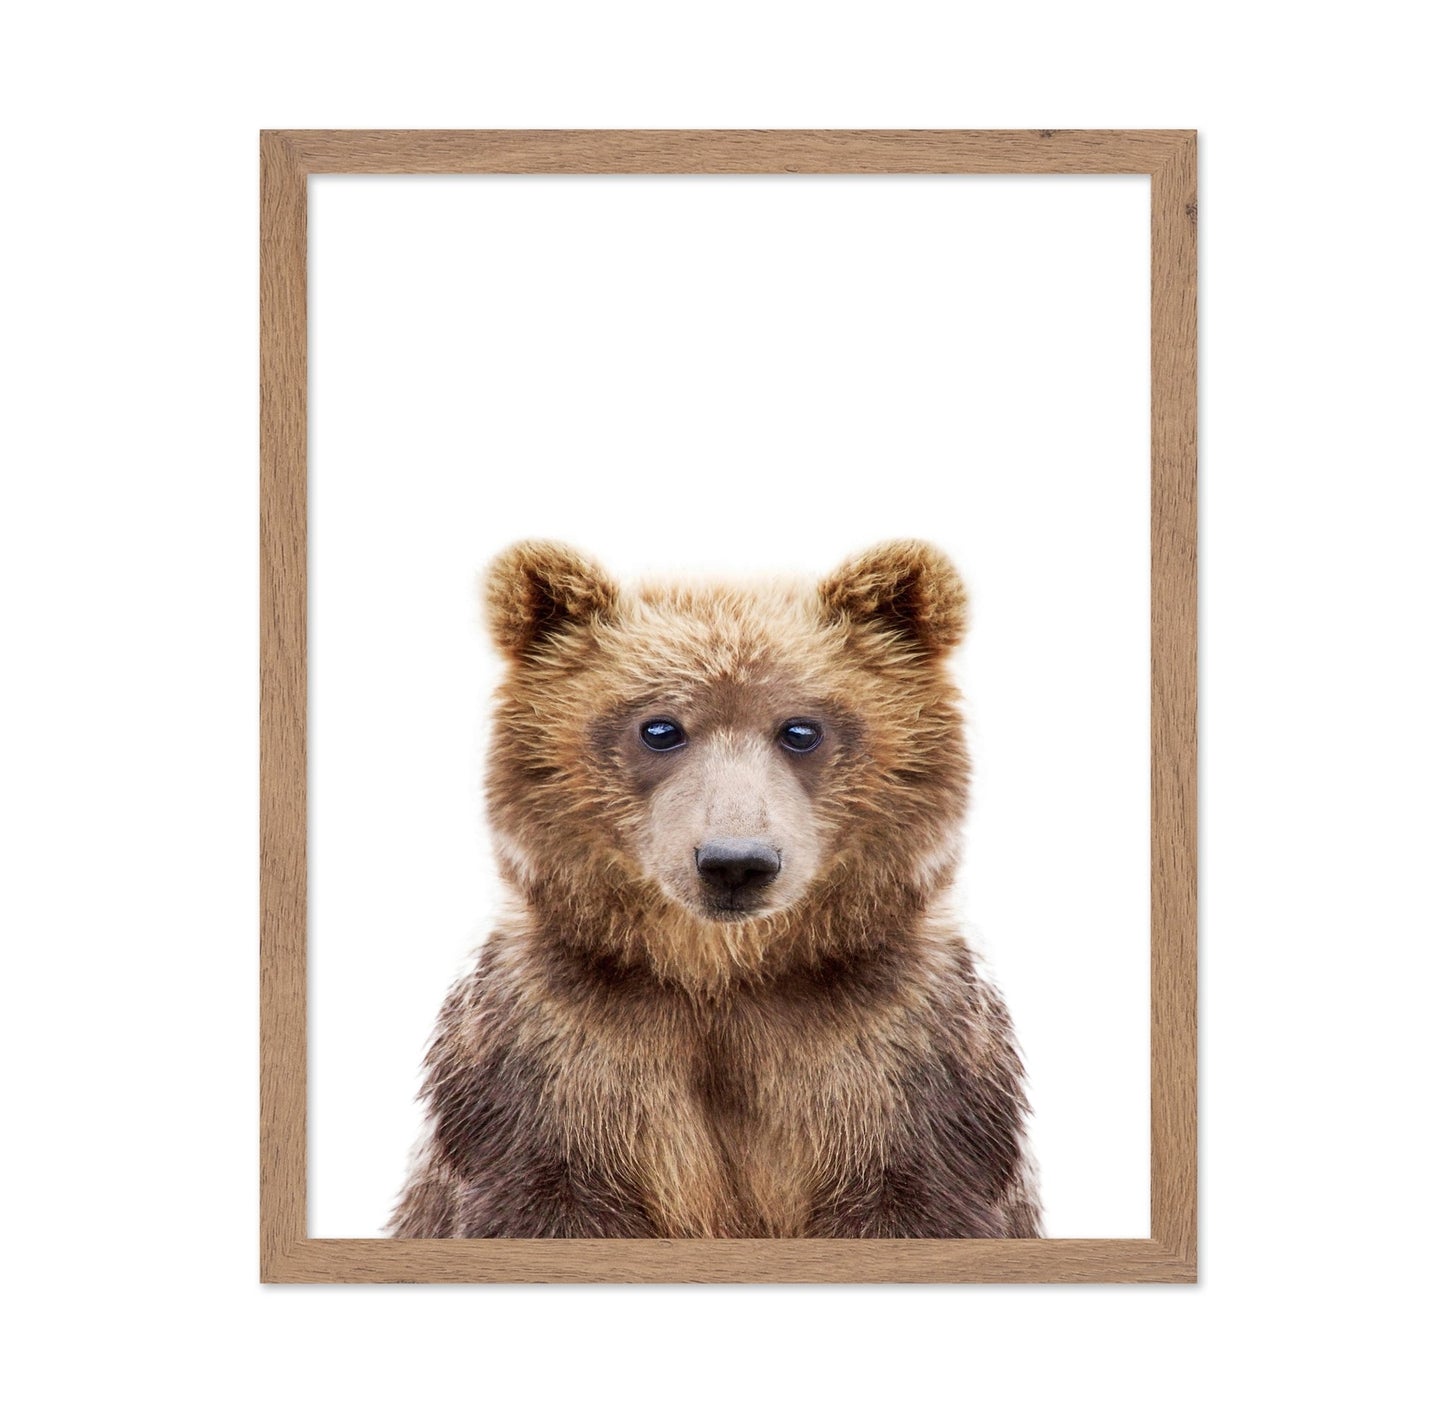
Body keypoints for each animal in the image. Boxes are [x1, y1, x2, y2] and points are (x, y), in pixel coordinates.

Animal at [388, 539, 1042, 1239]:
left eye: (801, 729)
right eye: (660, 728)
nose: (735, 862)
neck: (722, 977)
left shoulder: (899, 1057)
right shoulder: (554, 1057)